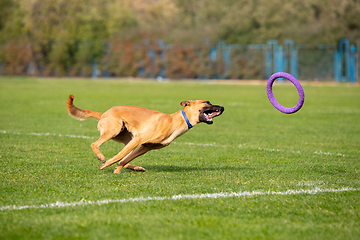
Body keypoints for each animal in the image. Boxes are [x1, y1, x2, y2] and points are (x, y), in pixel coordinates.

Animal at [66, 94, 224, 173]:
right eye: (207, 102)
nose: (222, 107)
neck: (175, 121)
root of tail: (105, 113)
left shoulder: (144, 147)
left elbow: (123, 160)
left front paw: (116, 171)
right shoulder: (139, 139)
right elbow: (119, 157)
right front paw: (106, 165)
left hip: (127, 139)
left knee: (125, 158)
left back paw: (135, 168)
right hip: (114, 131)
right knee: (95, 144)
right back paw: (102, 157)